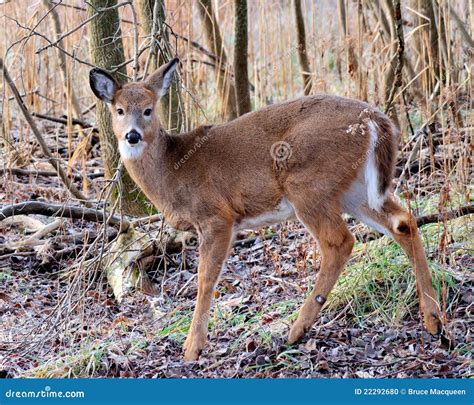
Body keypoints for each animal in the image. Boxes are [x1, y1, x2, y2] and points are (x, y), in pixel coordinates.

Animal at [90, 57, 442, 360]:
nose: (132, 135)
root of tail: (374, 120)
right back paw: (434, 320)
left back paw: (296, 329)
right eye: (119, 110)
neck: (173, 170)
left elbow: (205, 279)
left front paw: (192, 348)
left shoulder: (216, 216)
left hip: (307, 184)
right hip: (355, 191)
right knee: (403, 221)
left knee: (339, 241)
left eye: (148, 110)